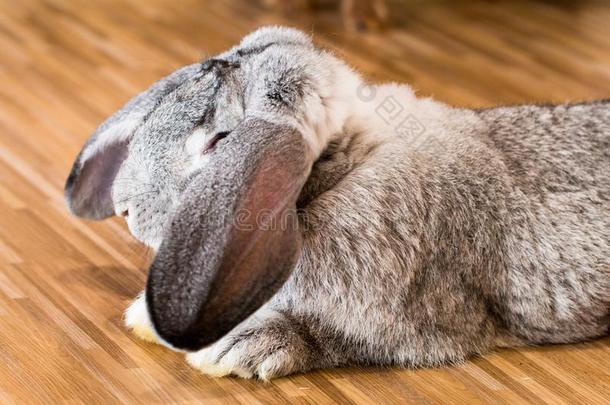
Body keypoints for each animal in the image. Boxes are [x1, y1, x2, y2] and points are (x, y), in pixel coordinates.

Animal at [65, 26, 608, 378]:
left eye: (220, 142)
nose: (125, 207)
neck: (343, 170)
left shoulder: (414, 322)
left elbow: (336, 338)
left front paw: (237, 349)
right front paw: (146, 319)